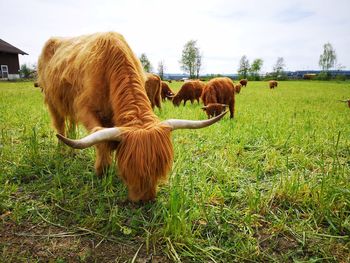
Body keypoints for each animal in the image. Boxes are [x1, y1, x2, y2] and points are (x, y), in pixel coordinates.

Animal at [37, 32, 226, 203]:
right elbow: (100, 139)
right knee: (60, 125)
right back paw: (63, 150)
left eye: (159, 169)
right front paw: (102, 171)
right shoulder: (85, 109)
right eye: (129, 170)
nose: (144, 200)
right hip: (52, 100)